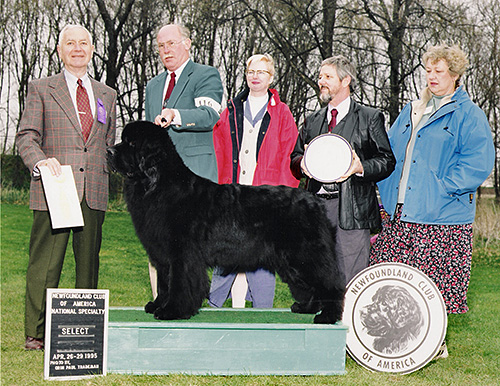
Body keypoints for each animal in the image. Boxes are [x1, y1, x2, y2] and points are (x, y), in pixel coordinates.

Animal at [108, 120, 346, 322]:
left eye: (131, 143)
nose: (109, 151)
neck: (156, 183)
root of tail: (315, 202)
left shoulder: (182, 253)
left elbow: (179, 282)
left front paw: (172, 311)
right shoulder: (162, 254)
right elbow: (164, 282)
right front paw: (158, 305)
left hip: (307, 254)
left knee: (331, 283)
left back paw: (328, 316)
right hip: (292, 262)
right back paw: (307, 307)